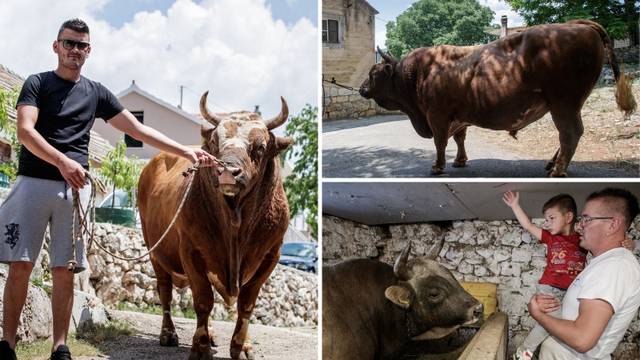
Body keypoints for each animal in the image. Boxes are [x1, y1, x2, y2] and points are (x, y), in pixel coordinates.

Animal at [139, 93, 294, 360]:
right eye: (214, 142)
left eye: (260, 146)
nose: (228, 170)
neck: (235, 223)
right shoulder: (191, 250)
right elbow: (203, 301)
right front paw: (200, 348)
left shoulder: (270, 256)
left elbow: (247, 304)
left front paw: (242, 346)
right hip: (156, 252)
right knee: (165, 292)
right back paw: (169, 333)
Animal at [360, 19, 636, 177]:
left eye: (374, 73)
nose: (362, 89)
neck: (418, 72)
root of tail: (580, 25)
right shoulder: (458, 117)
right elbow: (459, 138)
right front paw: (460, 161)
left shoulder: (436, 116)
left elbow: (440, 142)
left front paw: (437, 167)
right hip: (567, 105)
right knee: (569, 134)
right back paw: (552, 164)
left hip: (563, 104)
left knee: (570, 133)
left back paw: (557, 171)